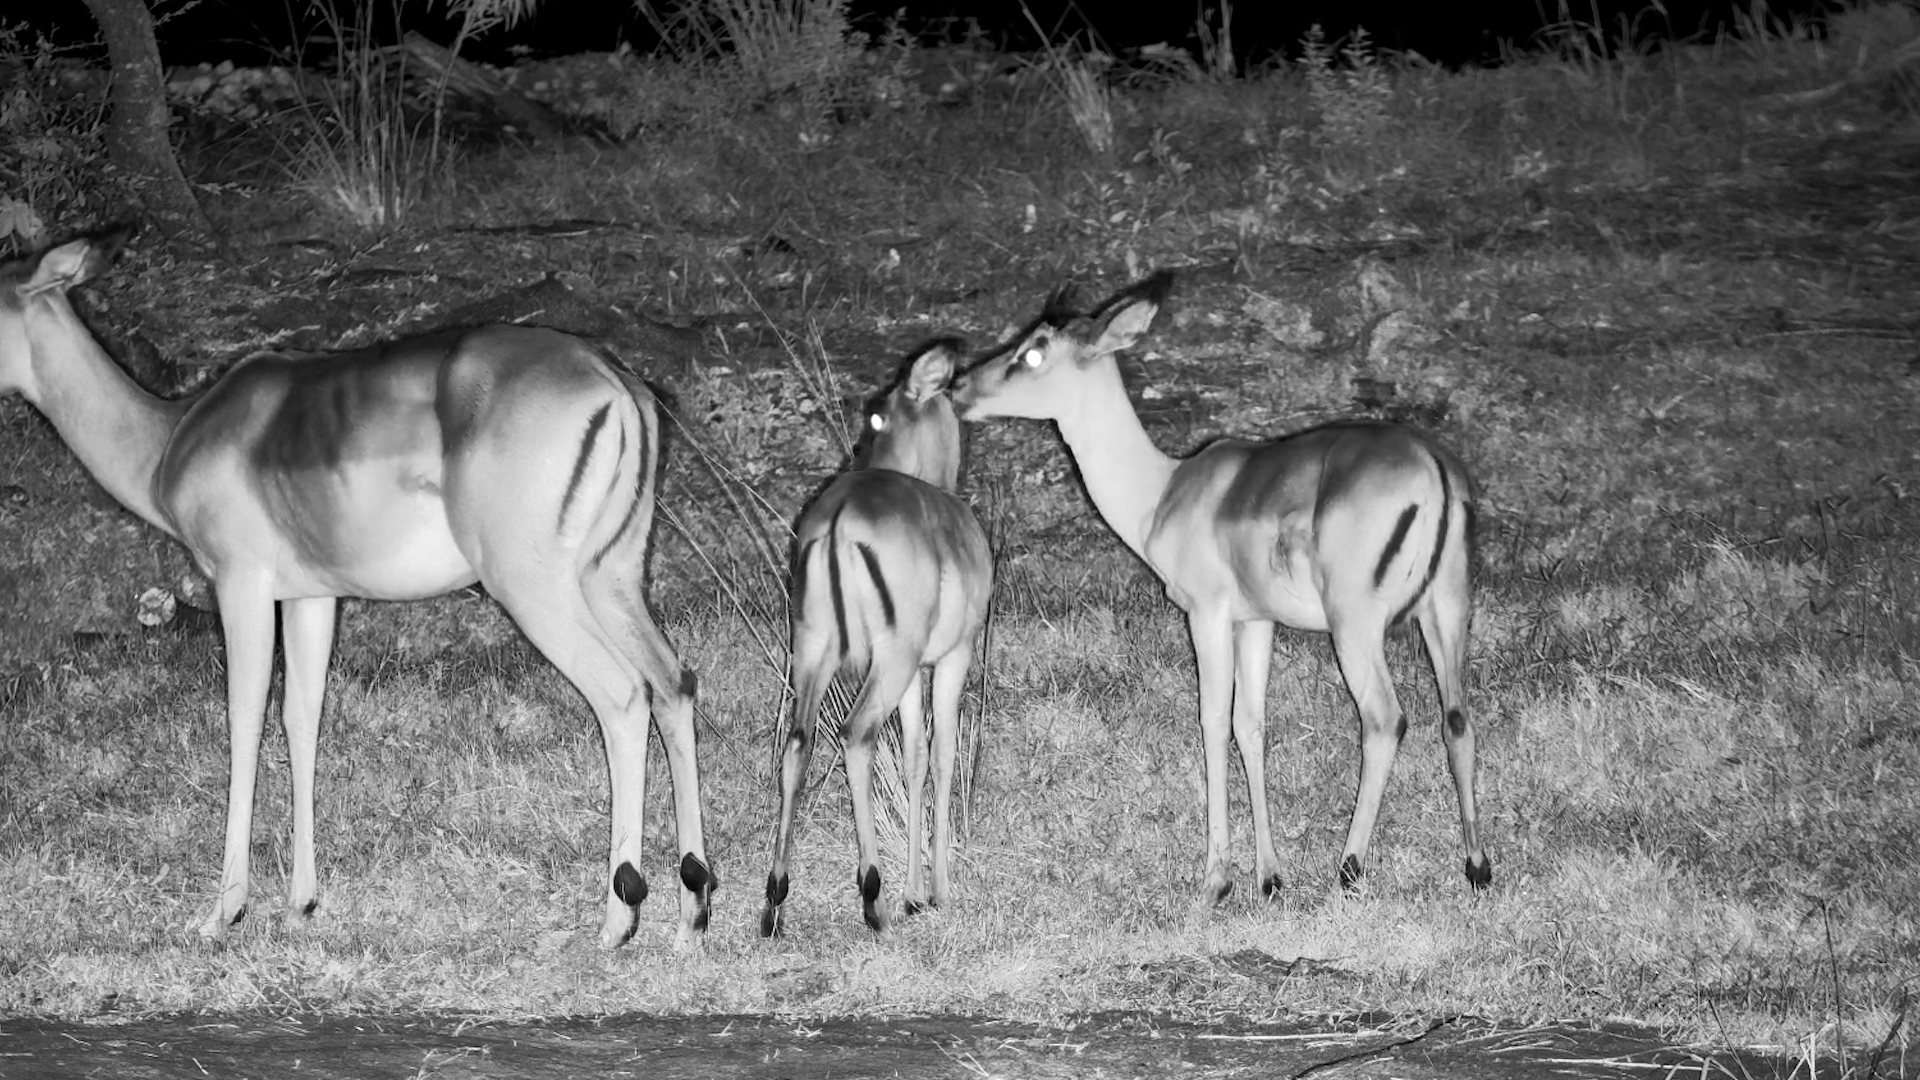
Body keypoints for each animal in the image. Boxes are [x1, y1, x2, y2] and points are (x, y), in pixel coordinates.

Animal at [0, 234, 714, 949]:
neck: (169, 440)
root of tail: (614, 379)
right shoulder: (311, 597)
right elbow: (301, 717)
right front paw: (301, 902)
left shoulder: (240, 583)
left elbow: (243, 721)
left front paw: (223, 912)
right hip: (611, 577)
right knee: (673, 681)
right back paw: (692, 909)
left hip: (533, 588)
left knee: (623, 694)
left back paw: (618, 919)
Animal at [761, 340, 993, 935]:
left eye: (874, 413)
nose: (856, 458)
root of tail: (840, 518)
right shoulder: (951, 658)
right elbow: (942, 752)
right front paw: (935, 893)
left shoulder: (913, 675)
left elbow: (912, 755)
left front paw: (915, 893)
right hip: (888, 661)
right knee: (856, 735)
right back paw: (873, 900)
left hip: (816, 650)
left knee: (798, 743)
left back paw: (773, 905)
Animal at [950, 272, 1489, 901]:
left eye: (1033, 351)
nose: (959, 387)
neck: (1162, 493)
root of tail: (1433, 466)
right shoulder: (1255, 622)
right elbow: (1250, 726)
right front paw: (1270, 877)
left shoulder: (1205, 615)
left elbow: (1211, 720)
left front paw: (1216, 880)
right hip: (1445, 609)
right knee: (1458, 717)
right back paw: (1478, 867)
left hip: (1355, 627)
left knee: (1385, 719)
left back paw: (1349, 867)